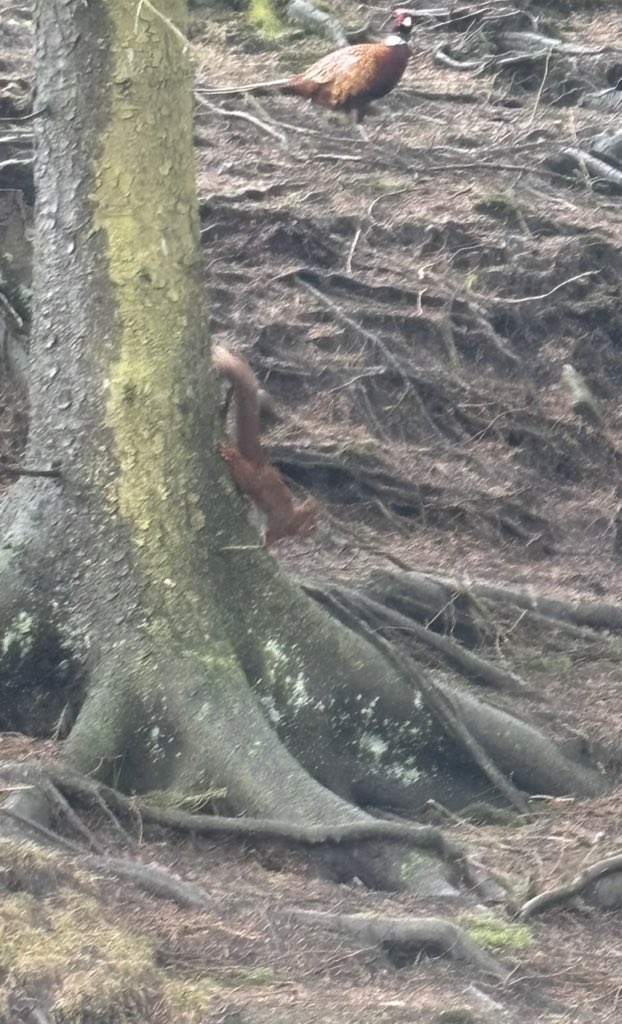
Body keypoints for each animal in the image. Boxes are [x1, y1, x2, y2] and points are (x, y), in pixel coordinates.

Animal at [212, 345, 317, 545]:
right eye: (312, 525)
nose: (313, 535)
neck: (293, 518)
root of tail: (260, 465)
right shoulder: (279, 527)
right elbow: (270, 538)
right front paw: (266, 545)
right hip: (250, 479)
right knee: (240, 468)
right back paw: (228, 453)